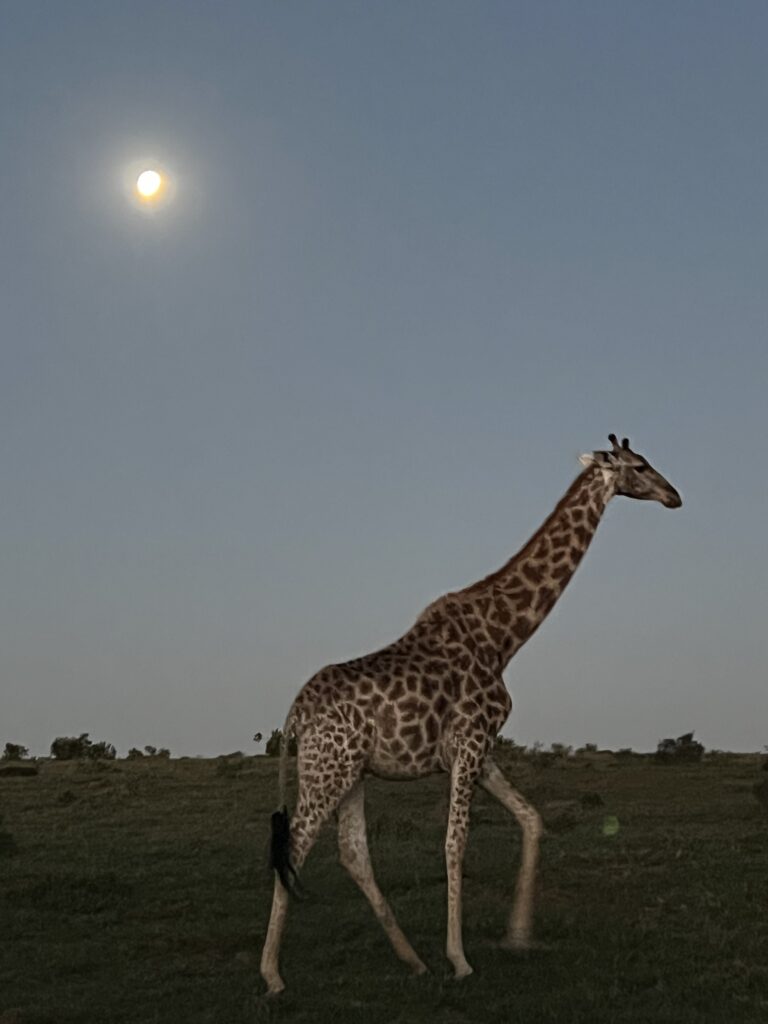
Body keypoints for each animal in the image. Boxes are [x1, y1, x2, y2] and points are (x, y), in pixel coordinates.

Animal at [260, 434, 681, 993]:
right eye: (641, 465)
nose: (674, 496)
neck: (504, 636)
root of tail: (295, 715)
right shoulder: (470, 741)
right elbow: (455, 842)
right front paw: (460, 958)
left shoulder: (481, 749)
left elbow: (532, 818)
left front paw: (518, 936)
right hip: (326, 771)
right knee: (296, 847)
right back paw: (272, 975)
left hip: (351, 773)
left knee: (353, 853)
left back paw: (412, 960)